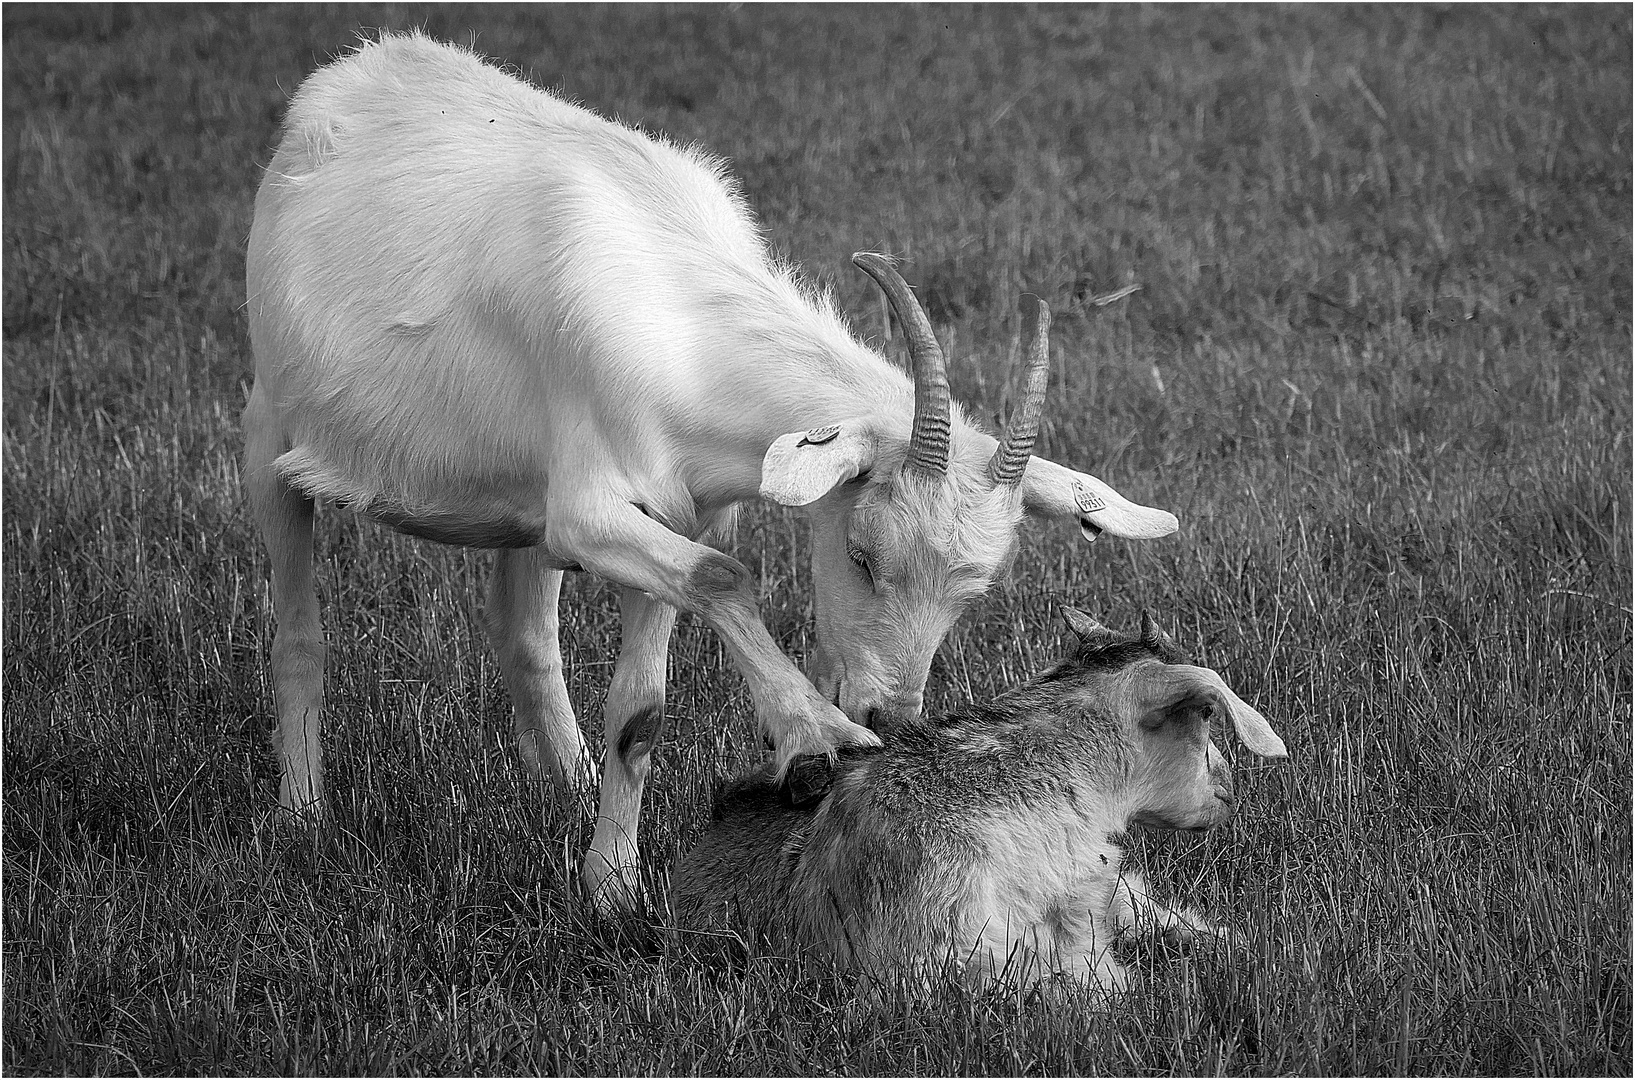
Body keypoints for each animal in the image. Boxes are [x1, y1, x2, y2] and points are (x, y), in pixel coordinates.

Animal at [241, 31, 1177, 901]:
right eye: (860, 553)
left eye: (971, 593)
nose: (893, 712)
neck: (679, 329)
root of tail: (358, 67)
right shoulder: (594, 510)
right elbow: (724, 578)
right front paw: (816, 736)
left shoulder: (670, 513)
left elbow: (643, 711)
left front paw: (610, 885)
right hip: (271, 427)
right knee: (299, 632)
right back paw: (302, 817)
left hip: (523, 501)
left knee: (524, 632)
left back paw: (567, 787)